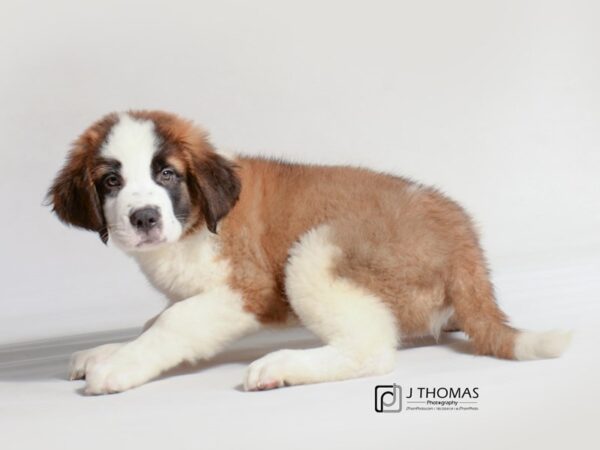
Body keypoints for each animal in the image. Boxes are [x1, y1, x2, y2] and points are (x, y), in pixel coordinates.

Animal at [48, 110, 572, 396]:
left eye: (167, 174)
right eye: (111, 181)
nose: (144, 218)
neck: (197, 220)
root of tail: (461, 236)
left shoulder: (248, 291)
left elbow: (172, 323)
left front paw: (119, 365)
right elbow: (155, 321)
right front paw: (107, 351)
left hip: (315, 253)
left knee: (371, 351)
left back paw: (281, 367)